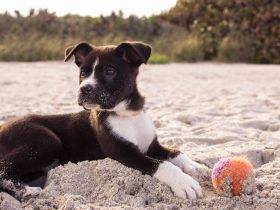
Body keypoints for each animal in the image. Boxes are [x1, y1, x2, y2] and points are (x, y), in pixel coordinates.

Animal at [0, 41, 209, 200]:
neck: (126, 113)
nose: (84, 89)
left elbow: (176, 152)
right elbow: (160, 164)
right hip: (47, 141)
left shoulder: (152, 146)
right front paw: (184, 182)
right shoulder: (122, 151)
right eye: (83, 73)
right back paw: (27, 191)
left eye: (109, 71)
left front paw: (196, 167)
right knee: (4, 169)